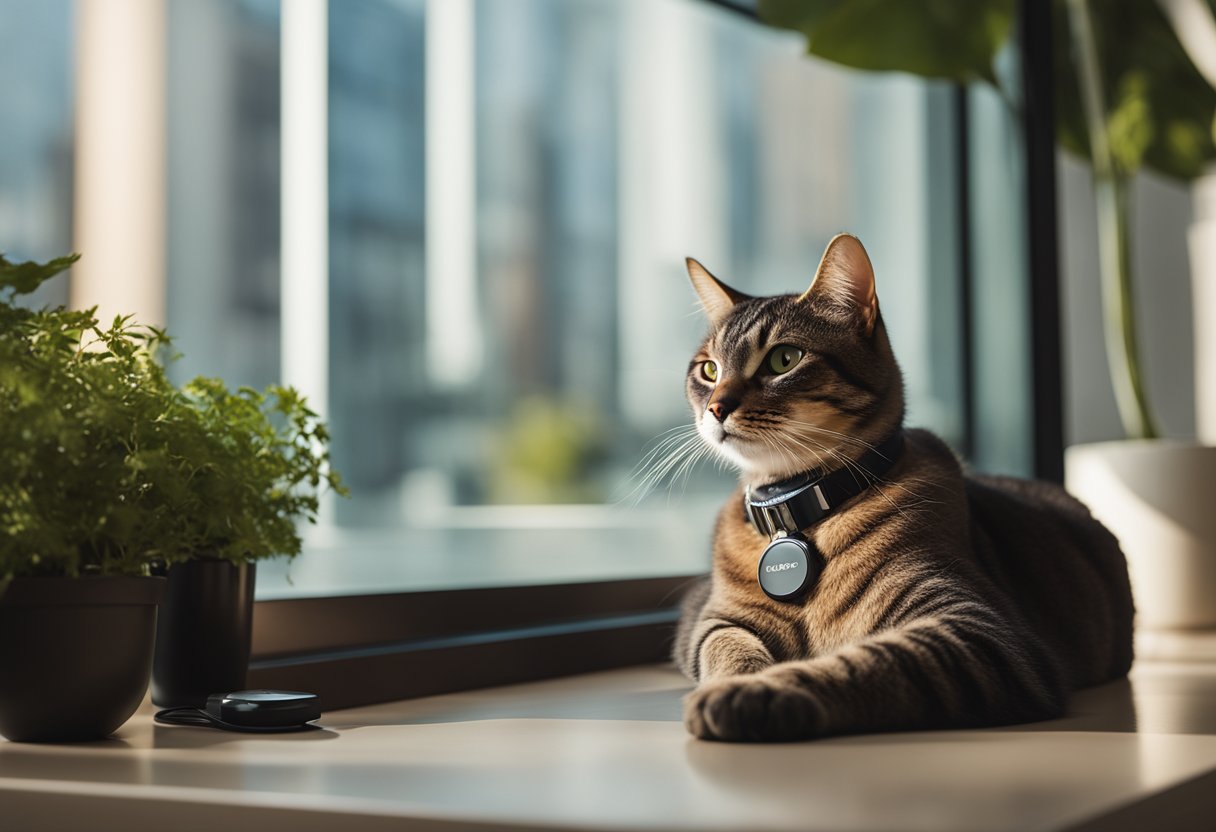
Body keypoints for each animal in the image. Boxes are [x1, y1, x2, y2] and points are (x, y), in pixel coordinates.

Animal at [676, 232, 1128, 739]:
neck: (796, 511)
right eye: (709, 370)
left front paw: (752, 690)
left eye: (783, 359)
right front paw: (737, 678)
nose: (716, 408)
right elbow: (728, 648)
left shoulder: (982, 633)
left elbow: (869, 662)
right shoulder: (716, 620)